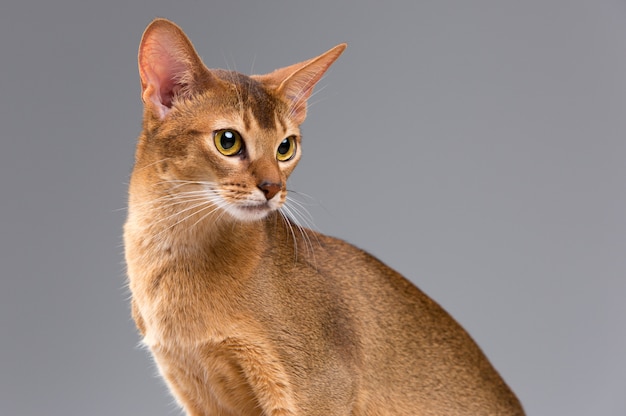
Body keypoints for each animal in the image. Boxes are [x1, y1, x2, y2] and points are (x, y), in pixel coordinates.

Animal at [122, 17, 520, 416]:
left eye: (285, 147)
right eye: (228, 141)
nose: (272, 187)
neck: (172, 245)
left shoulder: (321, 390)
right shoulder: (201, 393)